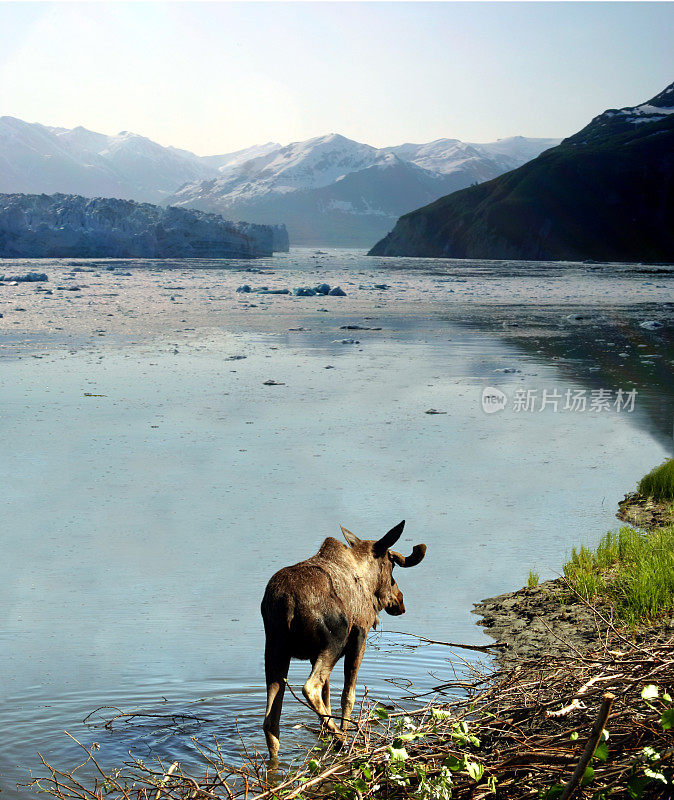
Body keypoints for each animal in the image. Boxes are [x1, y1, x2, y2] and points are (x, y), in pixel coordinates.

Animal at [258, 520, 422, 764]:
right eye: (391, 566)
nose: (399, 601)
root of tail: (287, 601)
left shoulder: (313, 654)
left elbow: (328, 697)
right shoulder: (359, 636)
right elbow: (347, 695)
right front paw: (345, 730)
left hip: (276, 647)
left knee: (271, 720)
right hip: (334, 642)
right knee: (310, 687)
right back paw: (341, 738)